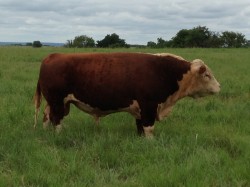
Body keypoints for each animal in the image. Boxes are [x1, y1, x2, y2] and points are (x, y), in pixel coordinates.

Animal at [33, 52, 221, 137]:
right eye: (207, 75)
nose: (219, 86)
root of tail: (53, 55)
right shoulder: (149, 106)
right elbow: (149, 127)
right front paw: (150, 143)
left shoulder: (140, 109)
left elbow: (140, 127)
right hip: (57, 101)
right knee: (56, 119)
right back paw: (59, 134)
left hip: (55, 102)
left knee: (46, 116)